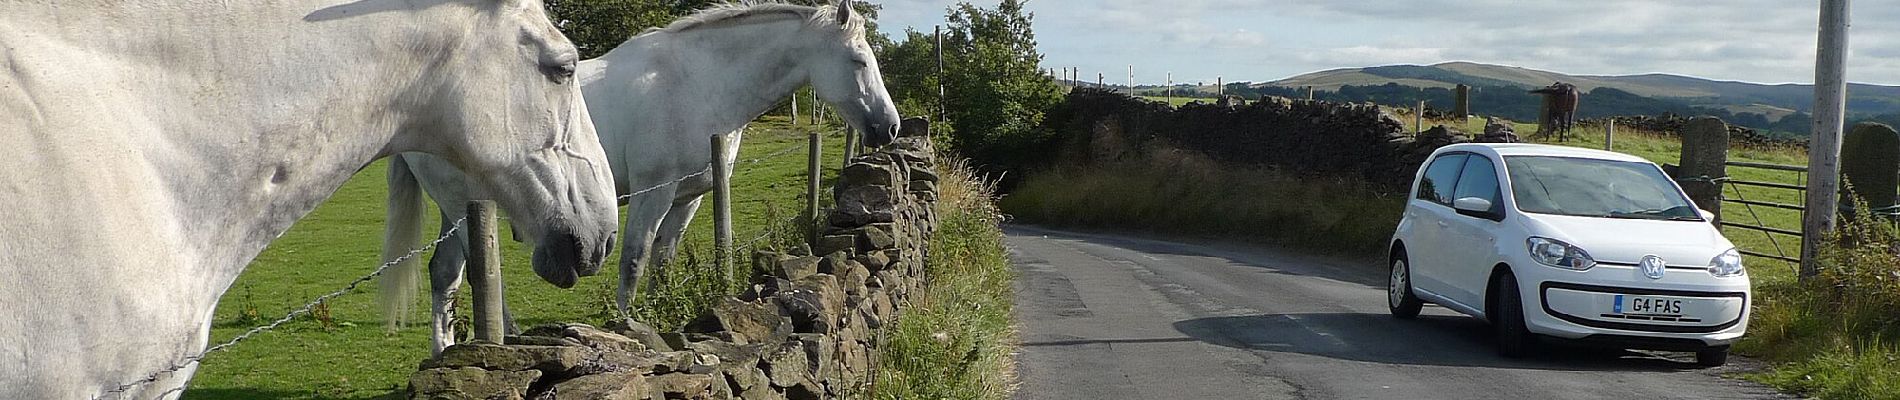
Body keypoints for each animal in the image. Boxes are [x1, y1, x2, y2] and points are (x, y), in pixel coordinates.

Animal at [381, 0, 900, 352]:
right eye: (858, 60)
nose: (889, 127)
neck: (698, 83)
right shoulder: (657, 191)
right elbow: (634, 258)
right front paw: (626, 324)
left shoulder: (688, 198)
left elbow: (663, 261)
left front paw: (663, 315)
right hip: (465, 208)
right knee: (478, 277)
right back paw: (508, 338)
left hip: (456, 211)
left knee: (445, 275)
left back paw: (443, 350)